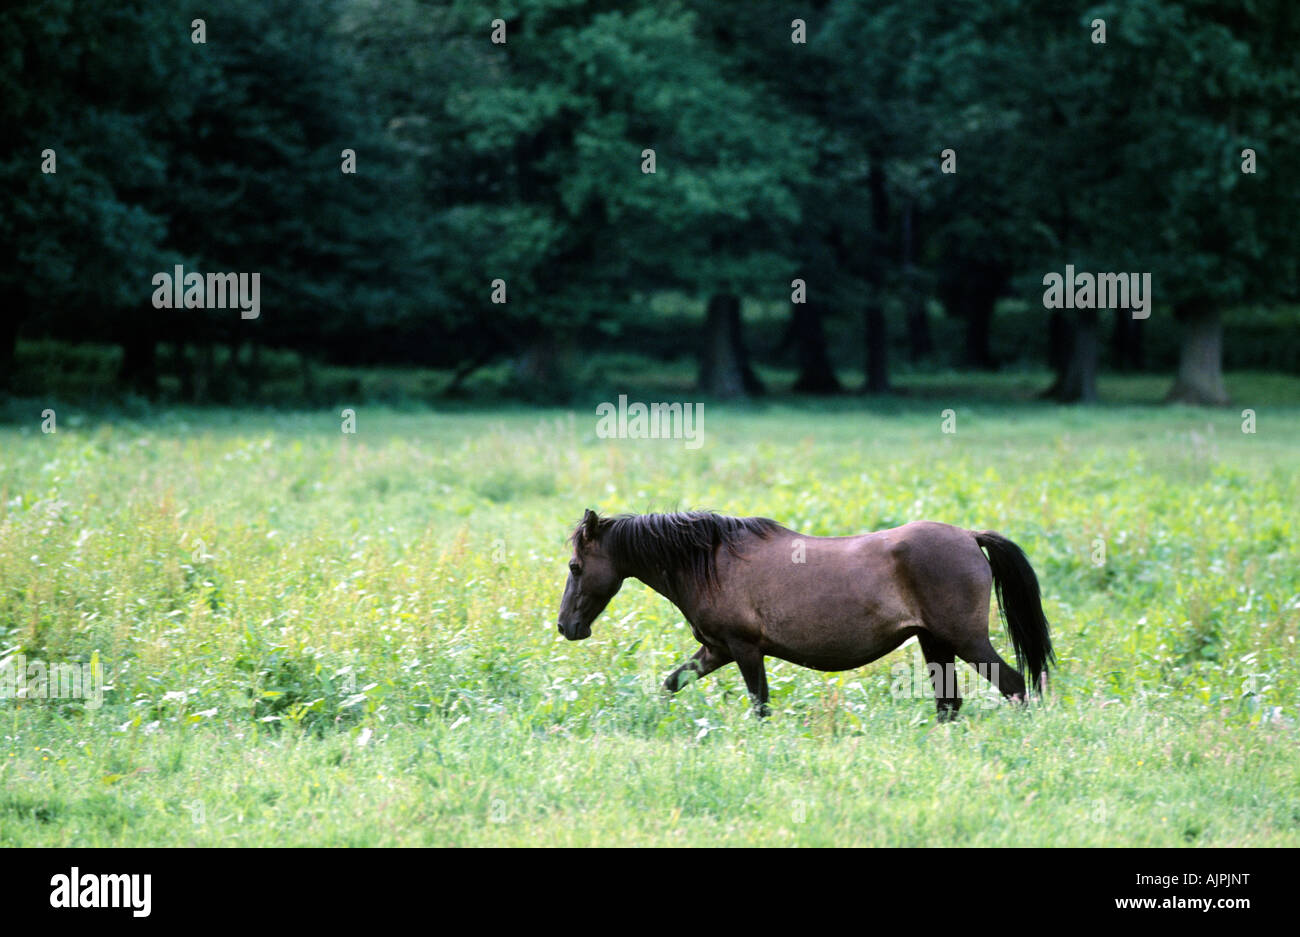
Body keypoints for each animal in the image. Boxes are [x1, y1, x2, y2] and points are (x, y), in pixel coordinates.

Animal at [553, 512, 1050, 717]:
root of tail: (969, 536)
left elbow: (760, 705)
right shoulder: (715, 650)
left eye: (575, 566)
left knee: (1013, 684)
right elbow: (670, 683)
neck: (711, 562)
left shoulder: (744, 649)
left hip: (966, 641)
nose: (566, 627)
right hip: (935, 643)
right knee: (949, 703)